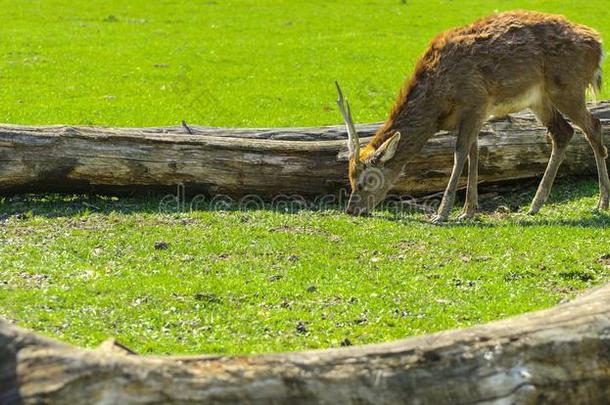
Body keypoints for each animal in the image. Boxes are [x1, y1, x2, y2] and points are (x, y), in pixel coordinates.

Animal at [334, 10, 604, 224]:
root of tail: (599, 45)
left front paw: (442, 213)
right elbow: (474, 153)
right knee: (563, 132)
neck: (438, 102)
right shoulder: (473, 114)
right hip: (539, 100)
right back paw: (535, 205)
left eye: (367, 180)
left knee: (593, 126)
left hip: (568, 87)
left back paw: (602, 202)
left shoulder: (476, 102)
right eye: (349, 179)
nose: (351, 210)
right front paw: (468, 211)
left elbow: (460, 152)